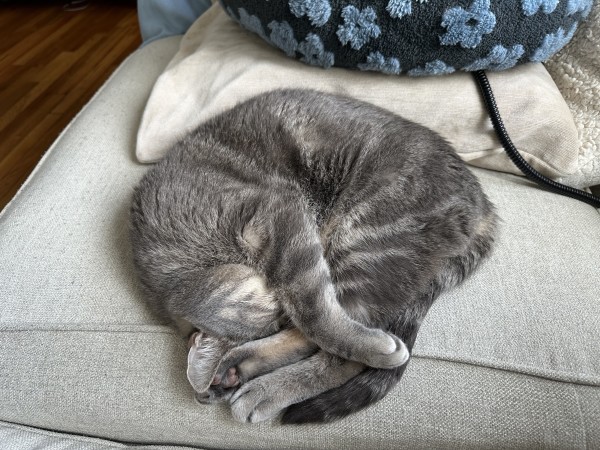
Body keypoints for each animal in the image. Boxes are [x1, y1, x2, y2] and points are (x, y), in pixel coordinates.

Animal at [130, 89, 496, 426]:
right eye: (274, 321)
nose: (284, 314)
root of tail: (484, 208)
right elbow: (313, 317)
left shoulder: (276, 216)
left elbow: (315, 314)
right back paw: (236, 370)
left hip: (366, 239)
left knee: (342, 351)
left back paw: (263, 389)